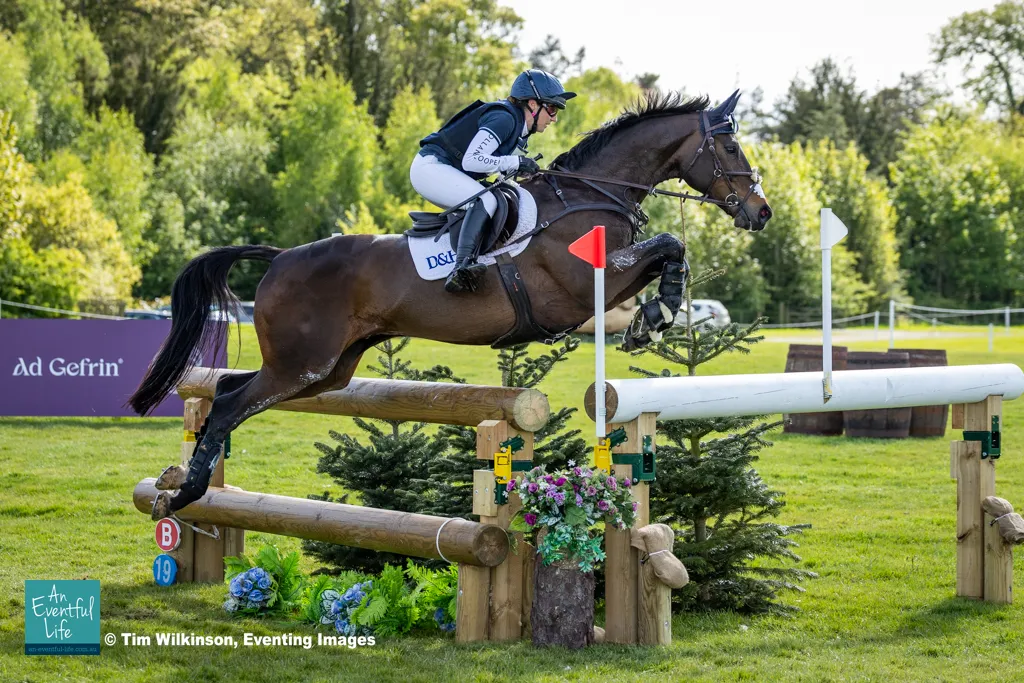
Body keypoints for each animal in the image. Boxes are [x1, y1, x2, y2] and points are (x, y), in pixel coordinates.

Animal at [129, 90, 772, 518]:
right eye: (730, 143)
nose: (761, 211)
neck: (592, 194)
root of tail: (281, 258)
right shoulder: (580, 285)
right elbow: (668, 244)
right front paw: (656, 316)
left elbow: (669, 251)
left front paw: (650, 320)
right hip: (302, 363)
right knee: (229, 404)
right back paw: (183, 495)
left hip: (325, 369)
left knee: (227, 388)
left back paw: (185, 484)